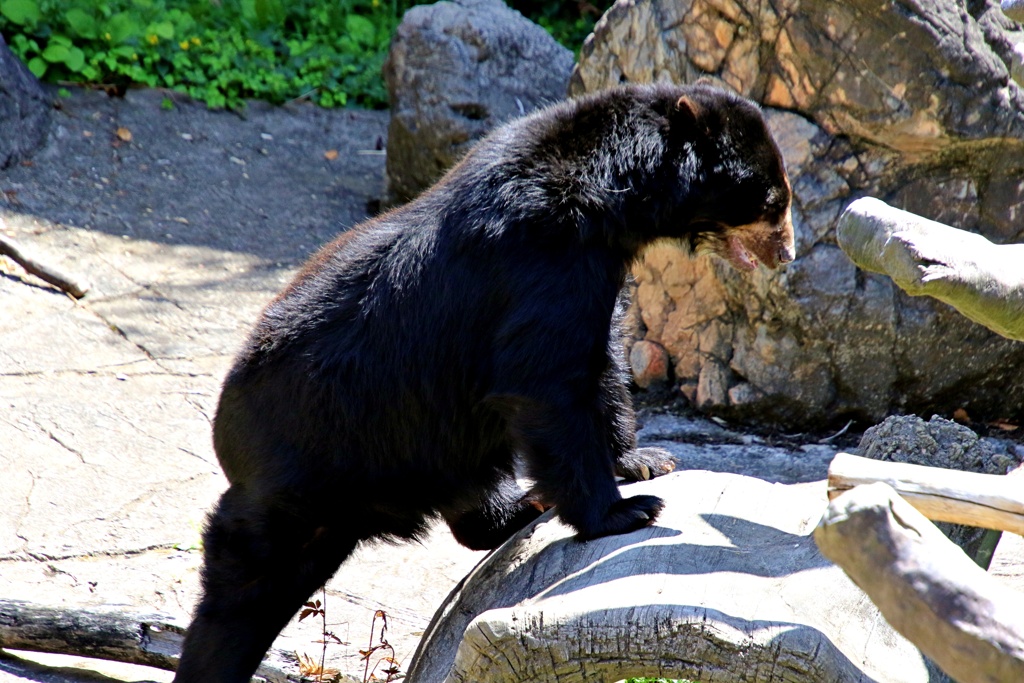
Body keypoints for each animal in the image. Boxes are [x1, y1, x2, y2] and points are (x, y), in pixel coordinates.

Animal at [174, 82, 790, 679]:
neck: (610, 198)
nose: (785, 253)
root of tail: (225, 430)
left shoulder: (597, 268)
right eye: (773, 199)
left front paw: (643, 460)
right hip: (302, 473)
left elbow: (603, 363)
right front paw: (626, 511)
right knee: (243, 595)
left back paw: (524, 504)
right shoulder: (545, 259)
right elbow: (546, 383)